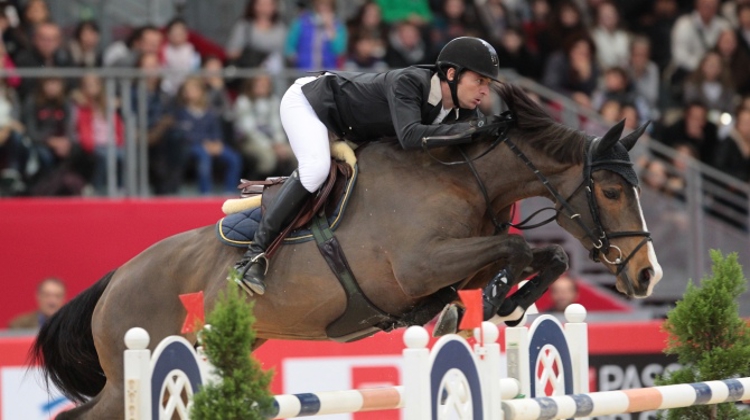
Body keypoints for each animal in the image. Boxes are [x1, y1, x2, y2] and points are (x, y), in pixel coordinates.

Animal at [33, 83, 664, 418]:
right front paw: (495, 299)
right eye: (611, 191)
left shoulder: (457, 257)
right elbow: (513, 244)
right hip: (130, 369)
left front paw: (500, 306)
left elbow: (543, 255)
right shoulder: (421, 263)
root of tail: (117, 278)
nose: (647, 276)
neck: (462, 176)